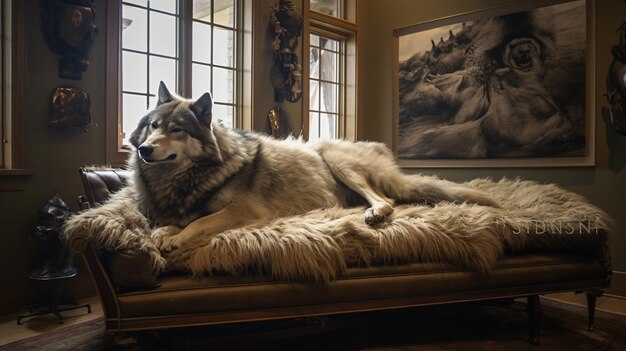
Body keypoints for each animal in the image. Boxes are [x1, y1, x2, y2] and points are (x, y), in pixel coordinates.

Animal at [128, 82, 498, 253]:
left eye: (177, 130)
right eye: (153, 126)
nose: (145, 149)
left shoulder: (243, 212)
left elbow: (200, 222)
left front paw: (177, 237)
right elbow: (176, 221)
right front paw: (164, 232)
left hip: (334, 157)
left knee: (387, 200)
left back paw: (375, 214)